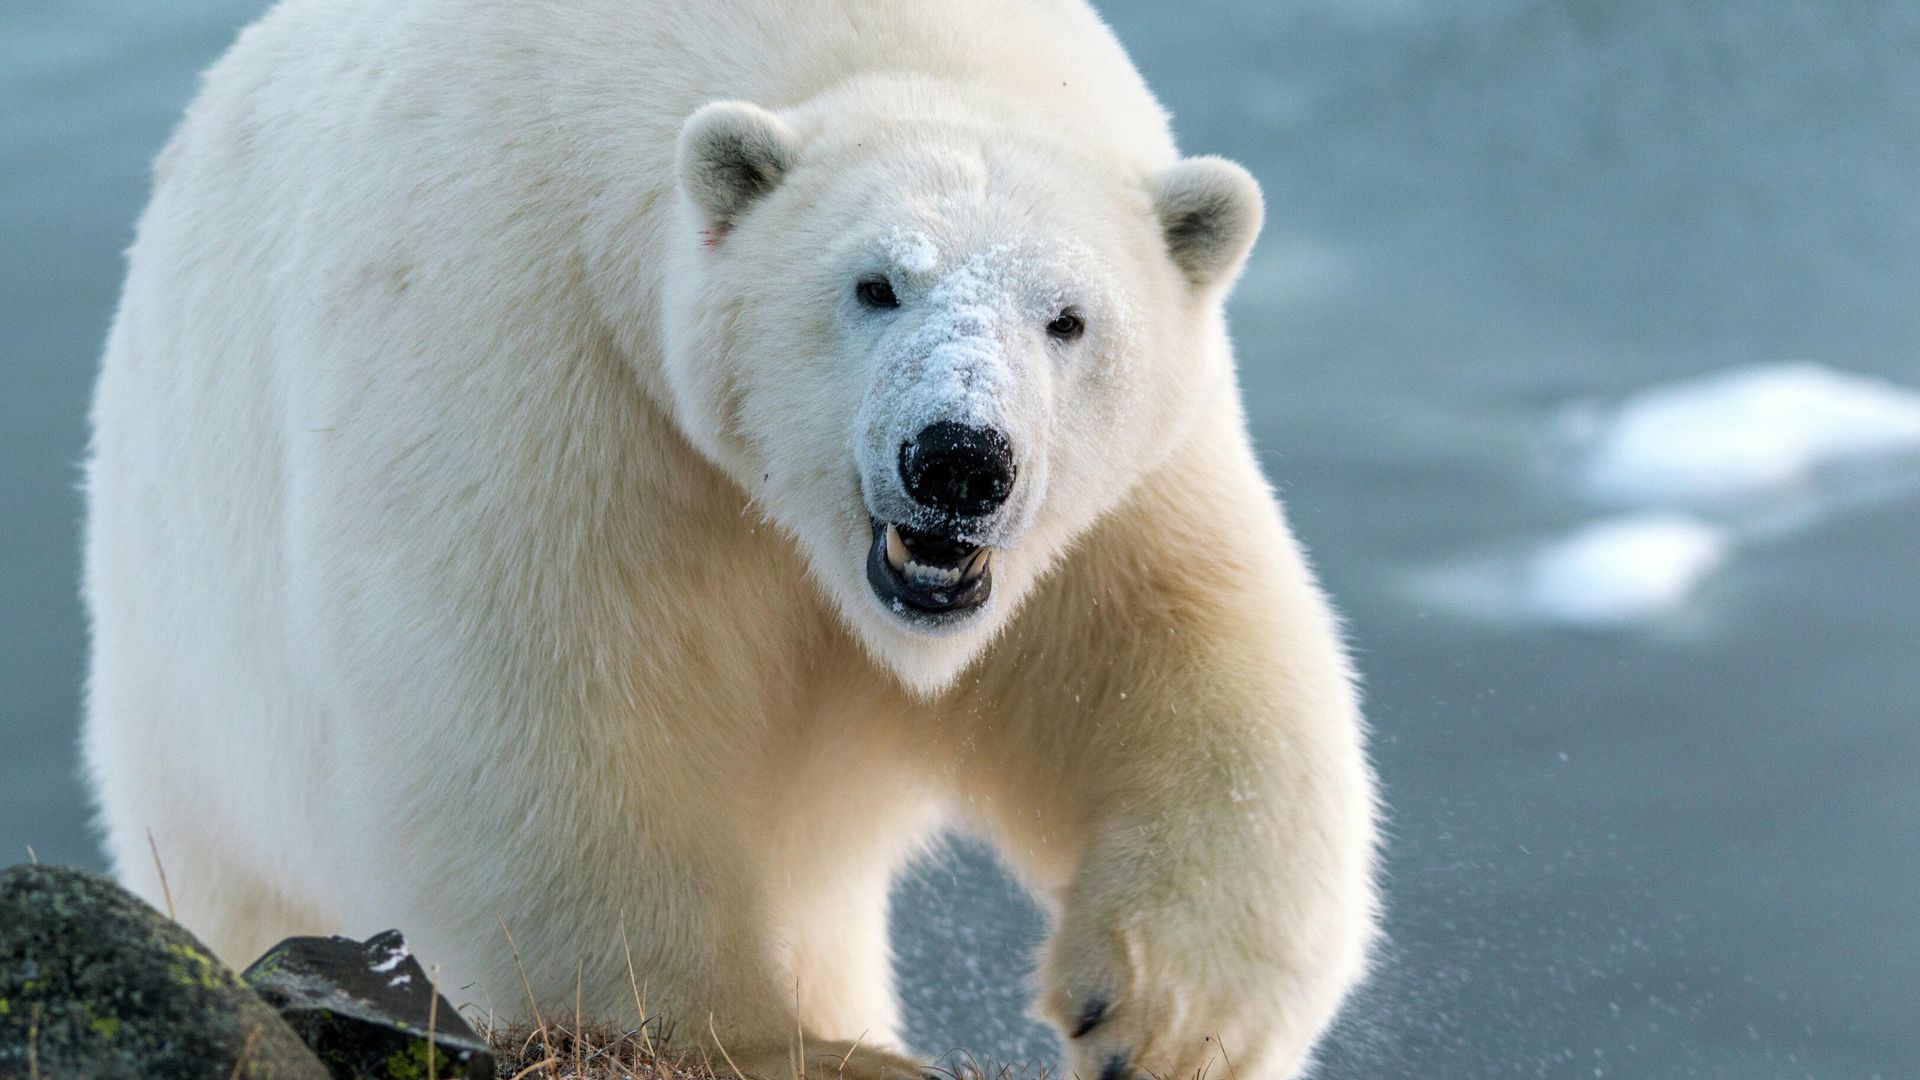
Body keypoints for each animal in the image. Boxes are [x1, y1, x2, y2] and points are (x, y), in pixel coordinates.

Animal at [81, 1, 1380, 1078]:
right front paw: (778, 1047)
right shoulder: (534, 350)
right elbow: (539, 713)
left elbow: (1181, 656)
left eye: (1068, 317)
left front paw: (1161, 1016)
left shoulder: (1110, 498)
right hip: (192, 716)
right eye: (874, 285)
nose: (959, 459)